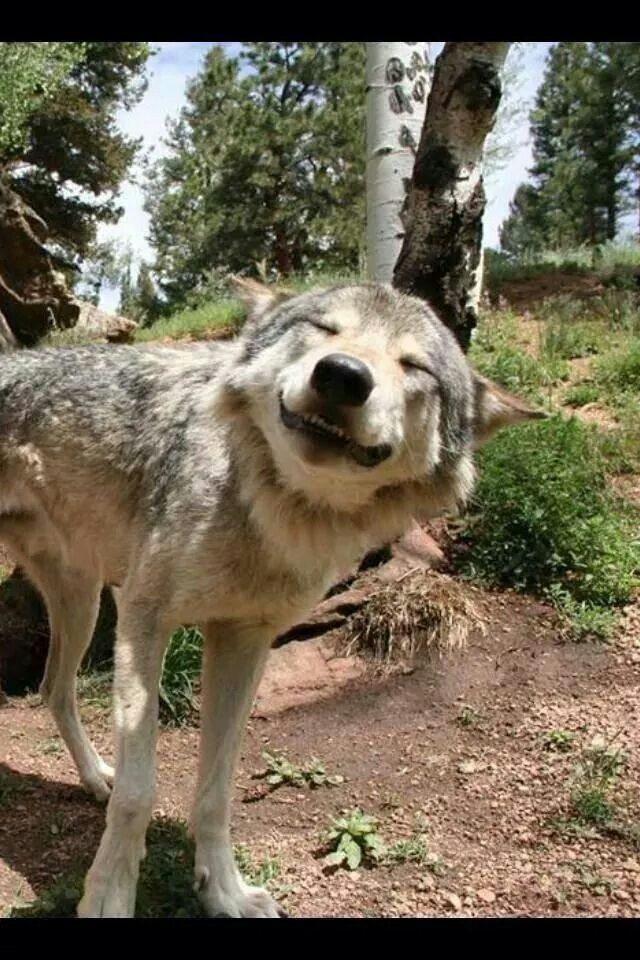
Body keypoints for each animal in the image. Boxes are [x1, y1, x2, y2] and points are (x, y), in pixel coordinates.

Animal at [0, 282, 544, 920]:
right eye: (325, 329)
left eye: (414, 366)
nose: (342, 374)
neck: (266, 509)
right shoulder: (143, 623)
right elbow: (139, 793)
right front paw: (108, 899)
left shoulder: (244, 640)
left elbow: (216, 791)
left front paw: (225, 892)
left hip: (82, 603)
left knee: (52, 691)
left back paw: (93, 778)